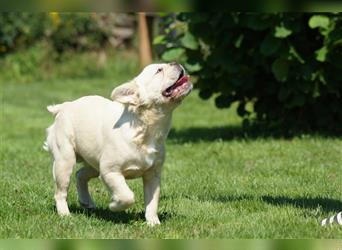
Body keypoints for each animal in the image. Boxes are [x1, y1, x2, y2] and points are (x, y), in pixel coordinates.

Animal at [43, 62, 191, 225]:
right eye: (159, 70)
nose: (175, 63)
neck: (146, 128)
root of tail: (64, 107)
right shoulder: (110, 171)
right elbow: (127, 196)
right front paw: (114, 206)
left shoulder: (152, 175)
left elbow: (152, 200)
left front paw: (153, 222)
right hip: (65, 160)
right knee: (61, 191)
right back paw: (65, 214)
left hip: (95, 163)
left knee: (81, 174)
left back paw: (86, 201)